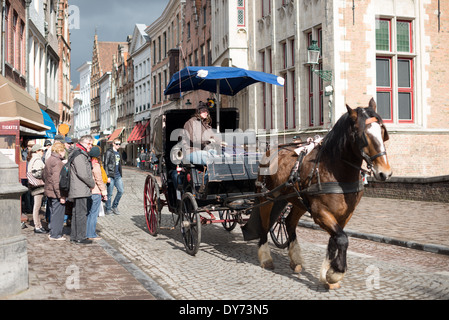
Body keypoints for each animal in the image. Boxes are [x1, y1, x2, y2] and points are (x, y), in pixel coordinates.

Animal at [242, 98, 388, 290]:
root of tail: (271, 151)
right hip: (267, 197)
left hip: (297, 200)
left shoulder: (344, 214)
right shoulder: (320, 213)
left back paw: (296, 260)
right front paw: (336, 273)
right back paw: (266, 258)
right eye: (362, 134)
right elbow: (342, 239)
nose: (385, 172)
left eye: (382, 131)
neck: (334, 171)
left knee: (289, 222)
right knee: (265, 225)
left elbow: (335, 239)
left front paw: (328, 274)